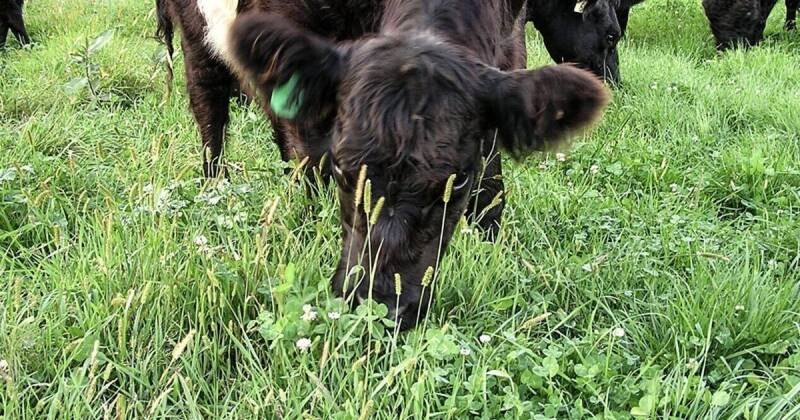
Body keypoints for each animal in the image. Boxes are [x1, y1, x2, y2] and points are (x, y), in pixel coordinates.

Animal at [158, 0, 609, 330]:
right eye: (344, 171)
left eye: (457, 181)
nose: (381, 306)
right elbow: (309, 157)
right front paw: (308, 228)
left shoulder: (507, 45)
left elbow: (492, 180)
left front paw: (495, 247)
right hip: (197, 41)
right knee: (211, 114)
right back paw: (216, 189)